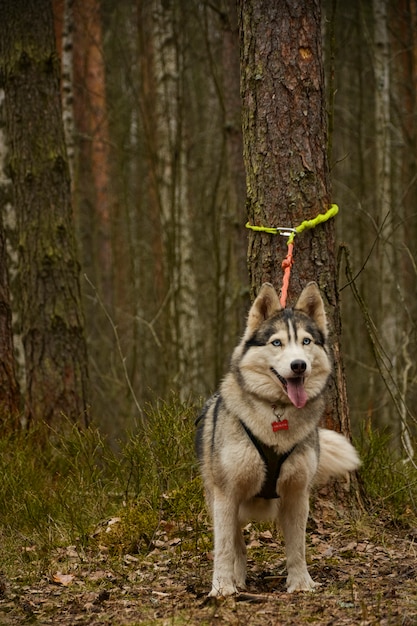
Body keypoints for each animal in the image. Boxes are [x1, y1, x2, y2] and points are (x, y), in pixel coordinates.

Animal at [197, 280, 360, 592]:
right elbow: (224, 548)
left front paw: (301, 584)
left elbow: (297, 547)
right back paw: (237, 579)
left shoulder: (297, 494)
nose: (299, 365)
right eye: (277, 343)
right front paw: (222, 588)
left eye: (306, 342)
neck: (277, 415)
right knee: (237, 545)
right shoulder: (226, 494)